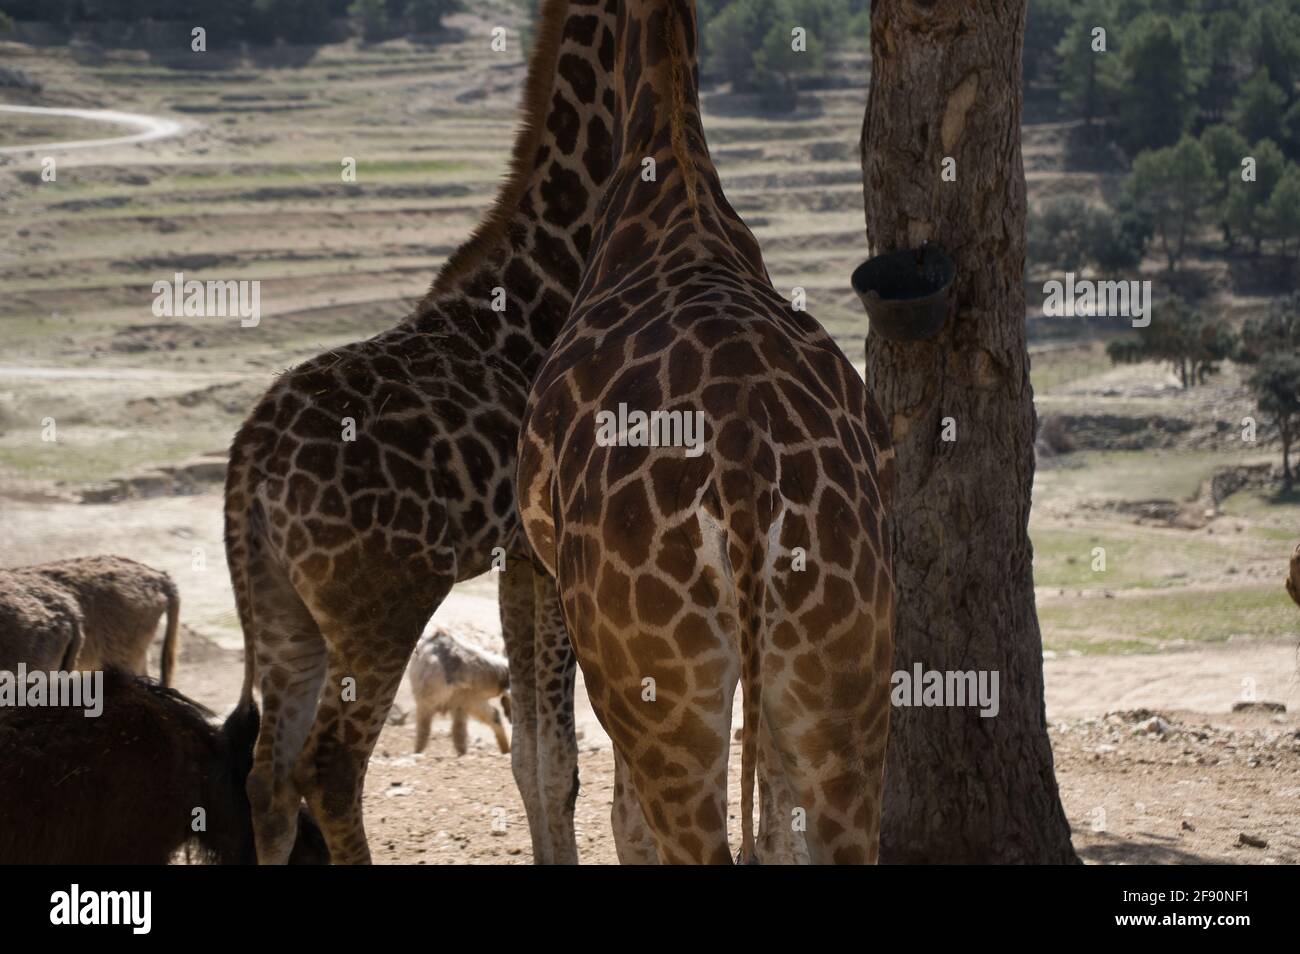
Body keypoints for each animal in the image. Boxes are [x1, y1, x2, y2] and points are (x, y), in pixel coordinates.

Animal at [224, 0, 618, 868]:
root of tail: (248, 468)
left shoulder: (520, 562)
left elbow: (537, 757)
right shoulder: (555, 555)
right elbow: (562, 758)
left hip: (281, 611)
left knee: (266, 778)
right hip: (379, 610)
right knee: (331, 769)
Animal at [517, 0, 894, 868]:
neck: (668, 163)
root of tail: (748, 484)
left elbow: (623, 821)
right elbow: (780, 829)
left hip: (660, 685)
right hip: (842, 672)